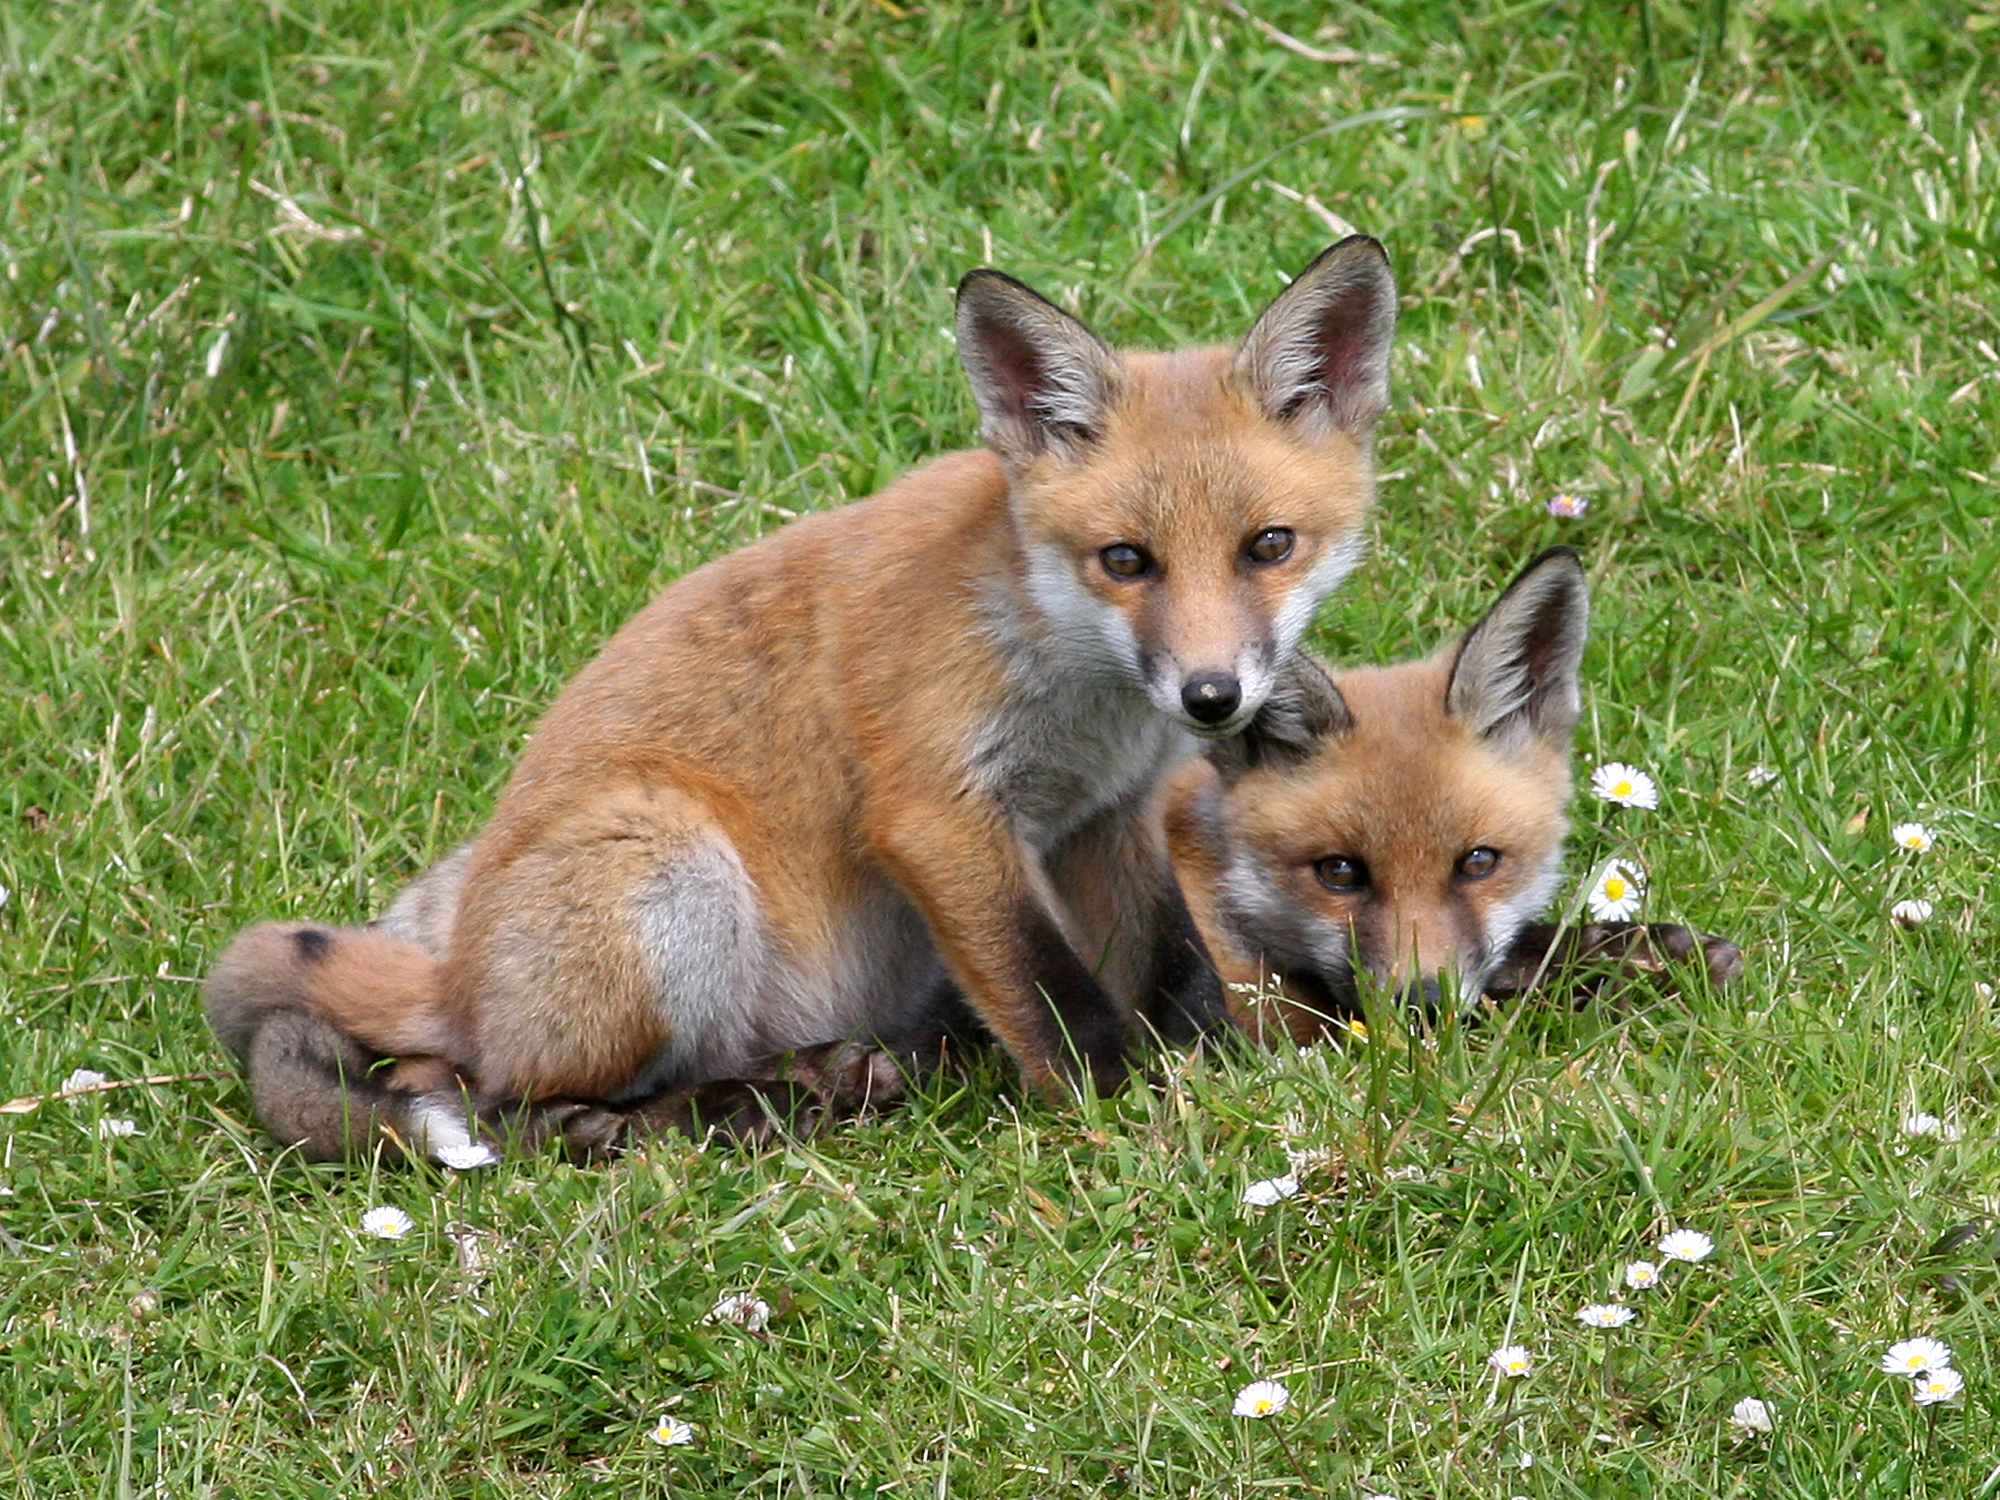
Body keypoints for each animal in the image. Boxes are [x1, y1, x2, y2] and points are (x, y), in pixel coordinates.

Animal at [199, 241, 1392, 1168]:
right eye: (1127, 561)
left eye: (1268, 547)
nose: (1211, 696)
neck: (1066, 667)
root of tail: (453, 976)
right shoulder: (939, 814)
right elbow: (1056, 995)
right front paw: (1138, 1116)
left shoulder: (1107, 813)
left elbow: (1174, 965)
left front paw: (1224, 1073)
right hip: (665, 868)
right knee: (481, 1093)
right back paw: (702, 1117)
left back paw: (827, 1078)